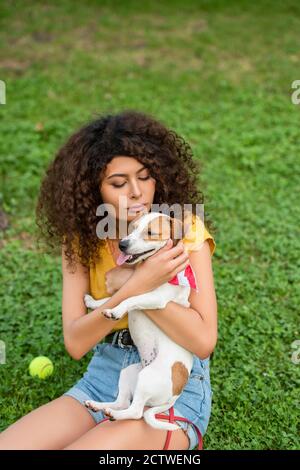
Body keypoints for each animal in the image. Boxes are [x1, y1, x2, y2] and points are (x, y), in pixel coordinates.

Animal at [83, 211, 199, 432]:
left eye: (151, 233)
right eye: (133, 228)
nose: (122, 244)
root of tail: (173, 397)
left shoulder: (156, 298)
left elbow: (128, 299)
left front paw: (116, 311)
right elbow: (114, 297)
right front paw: (94, 303)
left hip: (145, 380)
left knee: (136, 412)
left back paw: (114, 415)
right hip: (130, 372)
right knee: (122, 402)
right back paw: (99, 406)